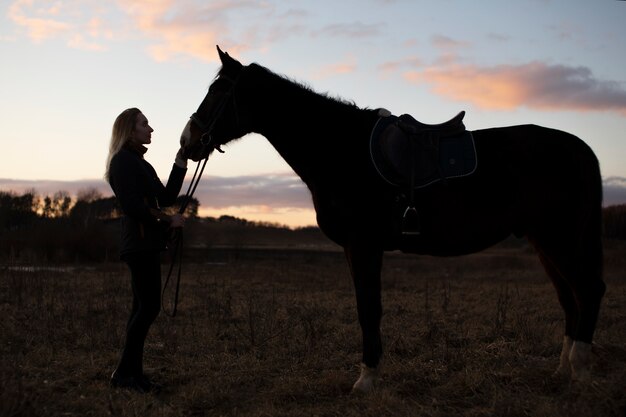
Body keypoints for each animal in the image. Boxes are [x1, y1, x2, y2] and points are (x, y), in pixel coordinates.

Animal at [178, 47, 604, 392]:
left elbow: (369, 309)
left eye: (218, 93)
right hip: (544, 241)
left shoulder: (364, 245)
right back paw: (562, 371)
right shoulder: (357, 249)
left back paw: (581, 371)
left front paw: (366, 380)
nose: (187, 141)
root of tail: (580, 149)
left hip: (560, 239)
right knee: (569, 299)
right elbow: (367, 307)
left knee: (587, 292)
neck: (340, 148)